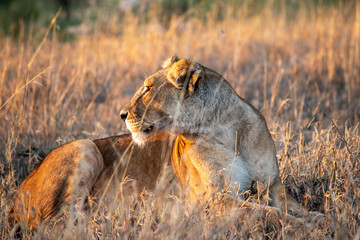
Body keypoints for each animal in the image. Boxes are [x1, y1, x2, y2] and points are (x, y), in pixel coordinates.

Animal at [9, 55, 310, 231]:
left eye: (148, 88)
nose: (121, 114)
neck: (226, 128)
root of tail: (16, 197)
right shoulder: (213, 200)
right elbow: (269, 214)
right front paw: (307, 228)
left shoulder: (273, 187)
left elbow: (293, 208)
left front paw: (317, 219)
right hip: (85, 146)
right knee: (58, 225)